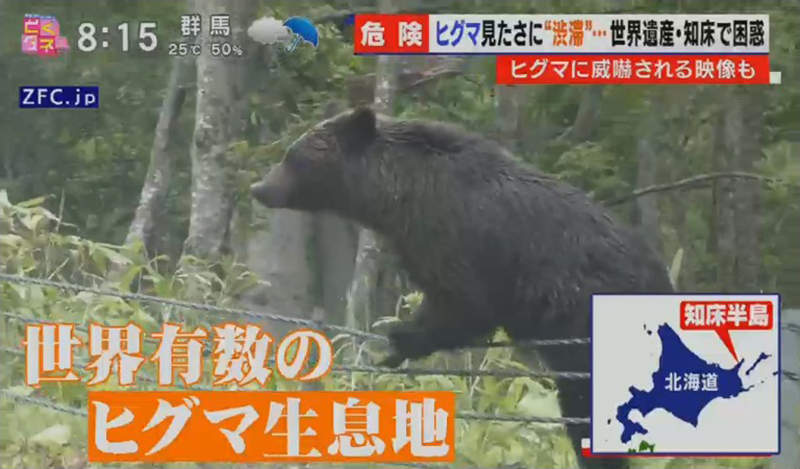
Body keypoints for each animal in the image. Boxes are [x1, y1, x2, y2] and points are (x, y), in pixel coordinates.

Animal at [251, 107, 673, 468]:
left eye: (292, 156)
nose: (259, 186)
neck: (396, 194)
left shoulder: (453, 236)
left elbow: (464, 305)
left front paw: (397, 339)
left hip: (590, 323)